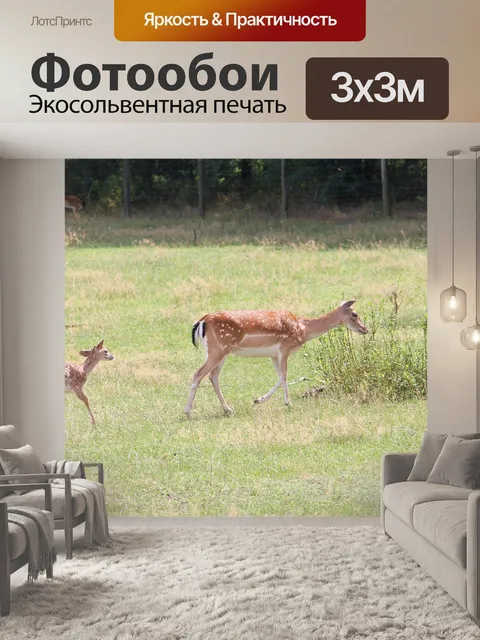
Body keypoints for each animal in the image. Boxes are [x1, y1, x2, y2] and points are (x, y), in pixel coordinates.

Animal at [184, 300, 368, 419]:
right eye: (354, 314)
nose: (365, 329)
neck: (303, 329)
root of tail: (202, 321)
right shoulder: (284, 348)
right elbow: (285, 376)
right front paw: (288, 403)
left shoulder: (273, 354)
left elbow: (280, 377)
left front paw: (258, 400)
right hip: (217, 350)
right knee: (198, 374)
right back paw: (188, 412)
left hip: (220, 352)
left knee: (212, 376)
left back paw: (228, 409)